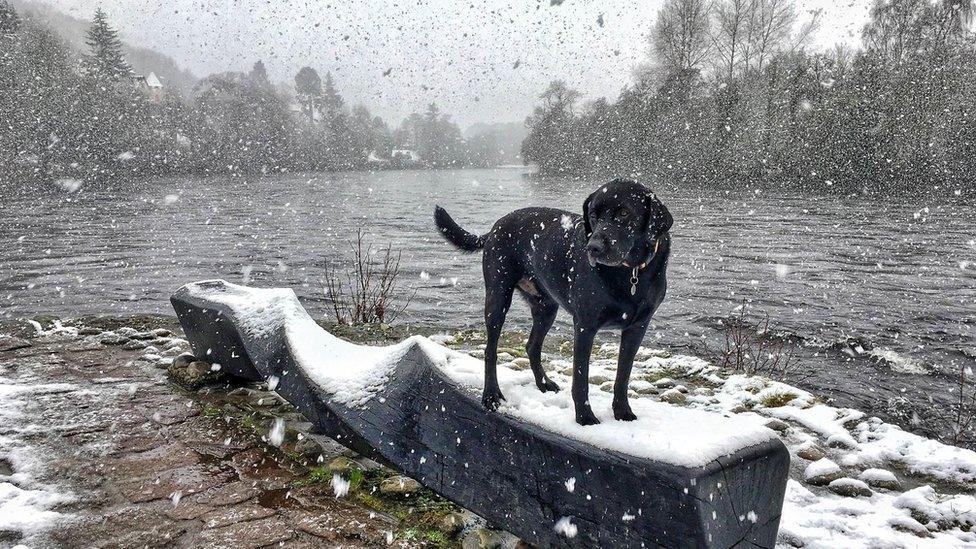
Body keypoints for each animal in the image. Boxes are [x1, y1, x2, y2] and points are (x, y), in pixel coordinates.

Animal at [434, 179, 672, 424]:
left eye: (624, 213)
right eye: (593, 215)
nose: (593, 248)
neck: (630, 273)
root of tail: (495, 227)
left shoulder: (637, 327)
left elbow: (623, 375)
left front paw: (623, 412)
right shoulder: (585, 326)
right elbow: (580, 379)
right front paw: (585, 418)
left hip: (546, 308)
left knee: (532, 346)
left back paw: (544, 384)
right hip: (497, 298)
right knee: (490, 351)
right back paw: (491, 395)